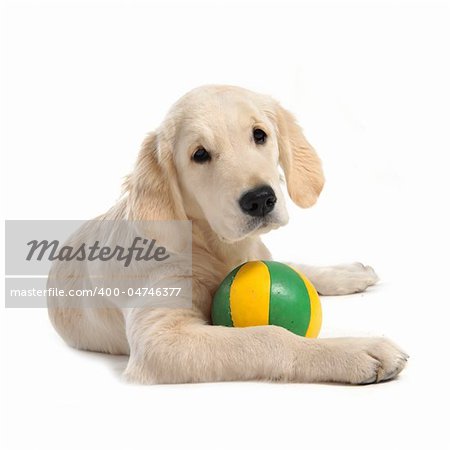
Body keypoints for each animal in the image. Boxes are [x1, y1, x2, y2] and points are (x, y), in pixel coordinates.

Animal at [48, 84, 408, 384]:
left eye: (259, 135)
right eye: (199, 154)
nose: (260, 199)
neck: (210, 243)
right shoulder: (161, 338)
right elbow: (268, 336)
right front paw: (354, 350)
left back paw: (349, 273)